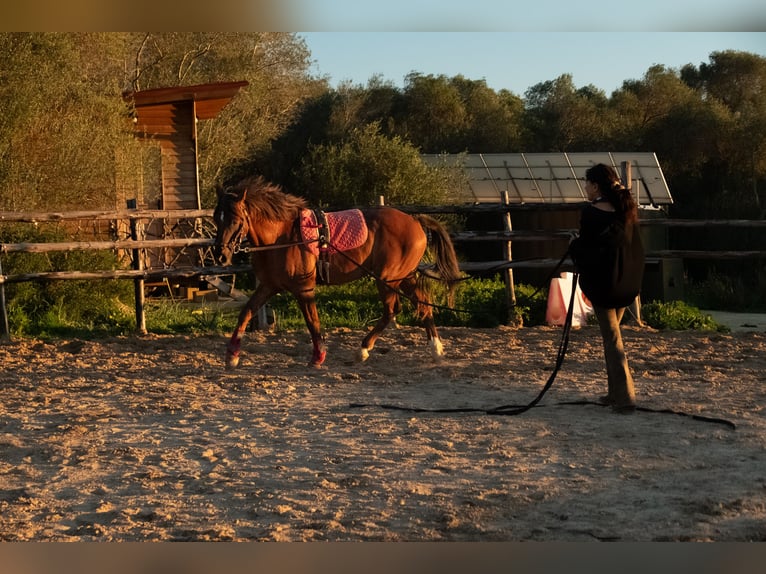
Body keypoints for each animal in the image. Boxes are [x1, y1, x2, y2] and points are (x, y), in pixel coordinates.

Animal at [213, 176, 462, 372]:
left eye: (235, 220)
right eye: (216, 218)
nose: (220, 256)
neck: (281, 238)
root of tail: (415, 221)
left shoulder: (304, 288)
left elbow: (312, 321)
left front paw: (318, 358)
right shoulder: (268, 285)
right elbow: (245, 312)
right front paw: (231, 356)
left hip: (388, 278)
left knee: (393, 310)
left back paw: (363, 350)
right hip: (404, 276)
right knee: (423, 303)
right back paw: (436, 350)